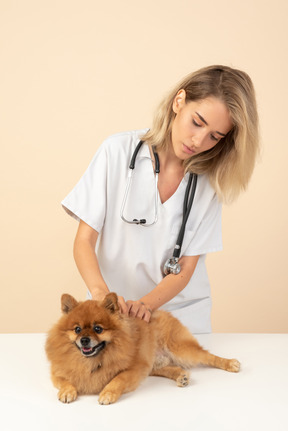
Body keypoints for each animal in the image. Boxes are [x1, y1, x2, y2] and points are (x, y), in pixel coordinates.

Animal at [45, 294, 241, 404]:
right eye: (77, 329)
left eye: (98, 329)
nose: (84, 340)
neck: (91, 360)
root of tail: (161, 312)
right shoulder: (57, 373)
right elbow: (65, 381)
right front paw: (67, 391)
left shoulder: (133, 369)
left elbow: (116, 380)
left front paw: (107, 393)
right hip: (153, 364)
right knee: (170, 368)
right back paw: (181, 376)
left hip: (181, 349)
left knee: (207, 356)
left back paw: (230, 363)